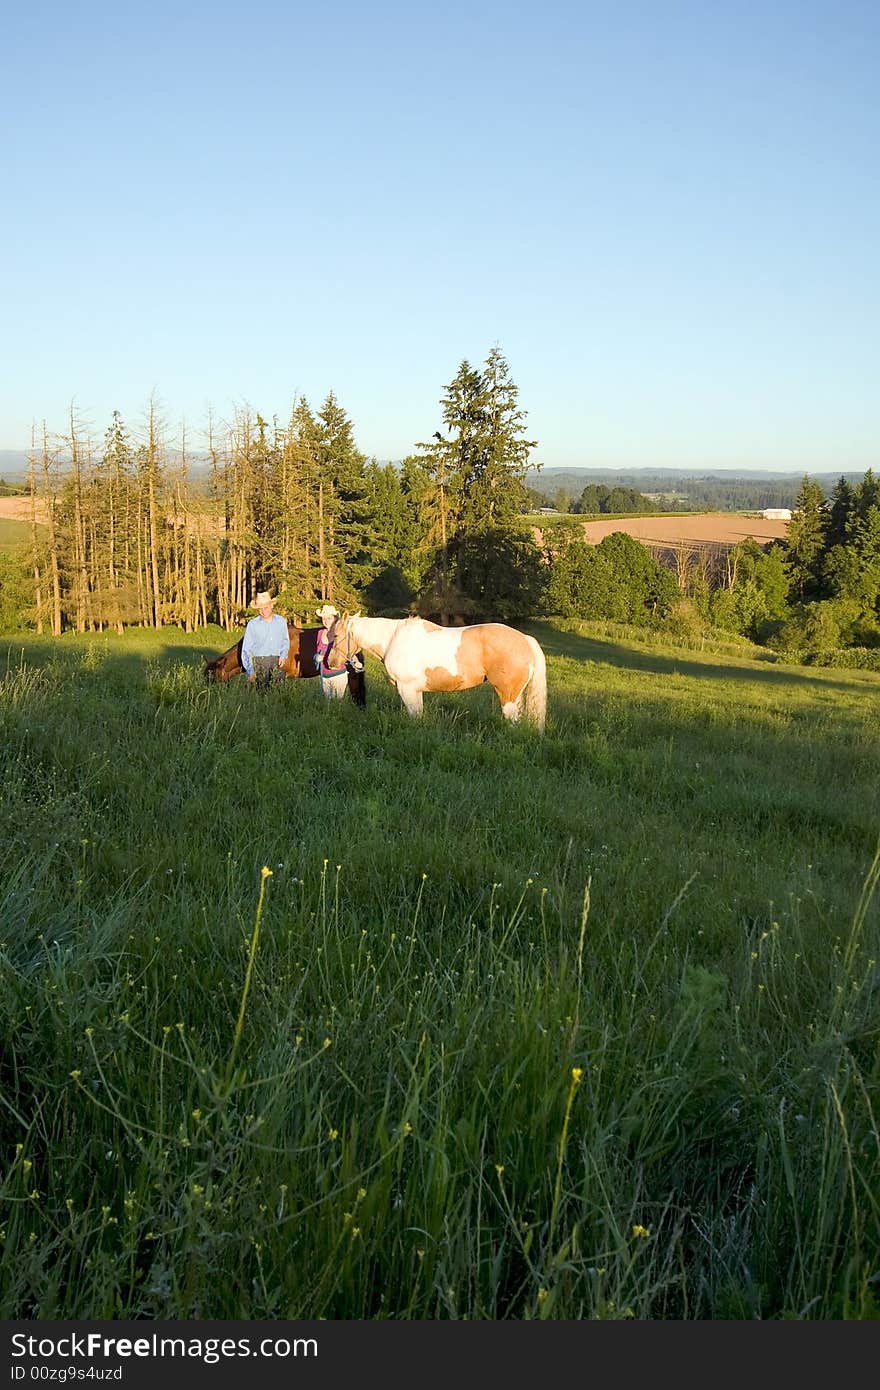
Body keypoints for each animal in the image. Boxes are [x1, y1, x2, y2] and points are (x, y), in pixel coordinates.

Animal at [330, 614, 542, 733]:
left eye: (335, 635)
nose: (330, 663)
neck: (393, 639)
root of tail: (525, 639)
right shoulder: (415, 691)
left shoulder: (406, 689)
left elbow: (414, 716)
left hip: (508, 698)